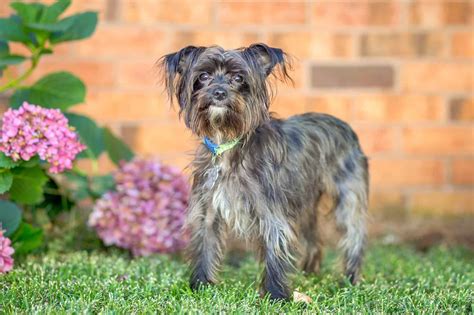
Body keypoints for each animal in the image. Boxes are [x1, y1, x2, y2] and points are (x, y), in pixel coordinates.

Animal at [161, 43, 368, 302]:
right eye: (204, 76)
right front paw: (201, 286)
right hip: (305, 203)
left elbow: (274, 249)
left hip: (348, 200)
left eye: (238, 78)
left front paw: (276, 295)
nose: (219, 92)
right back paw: (309, 273)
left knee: (354, 236)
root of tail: (346, 127)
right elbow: (204, 247)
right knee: (314, 238)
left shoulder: (272, 212)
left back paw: (350, 279)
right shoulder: (207, 211)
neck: (228, 143)